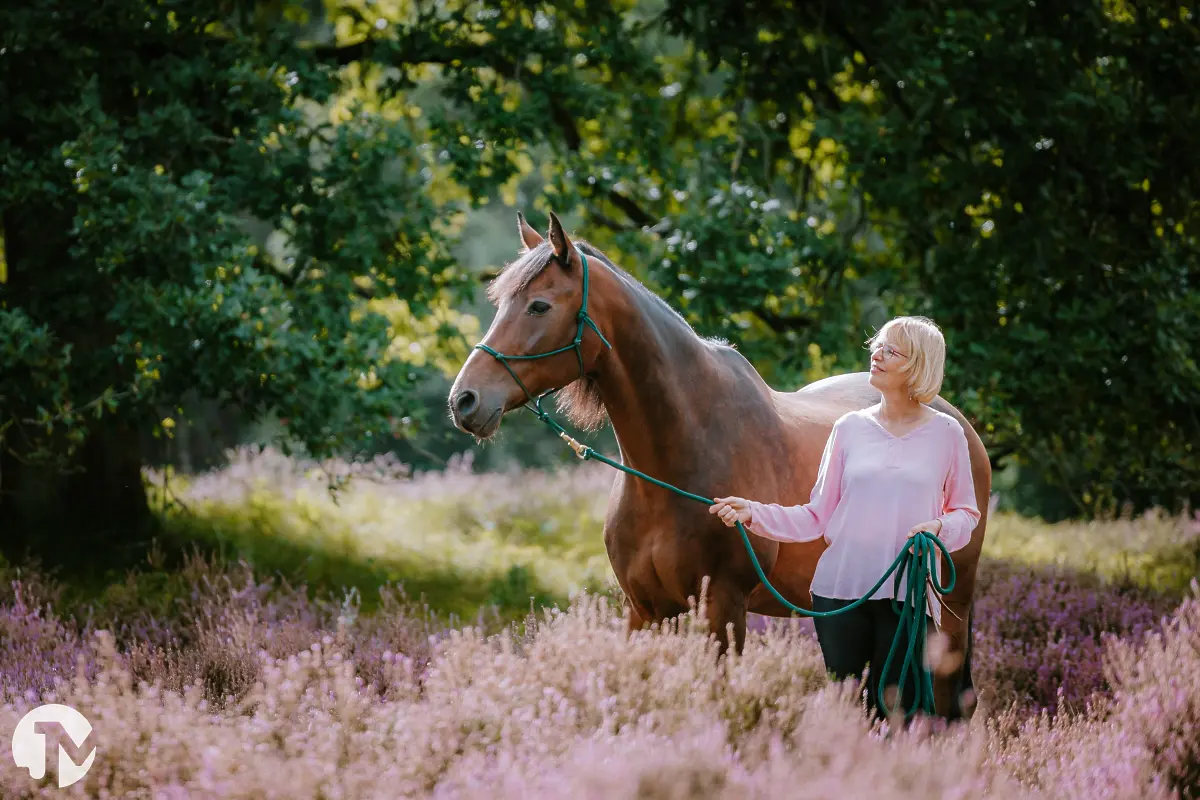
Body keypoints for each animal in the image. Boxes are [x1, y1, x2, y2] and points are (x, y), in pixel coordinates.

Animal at [448, 211, 992, 720]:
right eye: (501, 304)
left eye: (539, 305)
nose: (464, 400)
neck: (677, 463)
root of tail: (959, 422)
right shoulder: (645, 612)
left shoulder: (723, 611)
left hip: (950, 605)